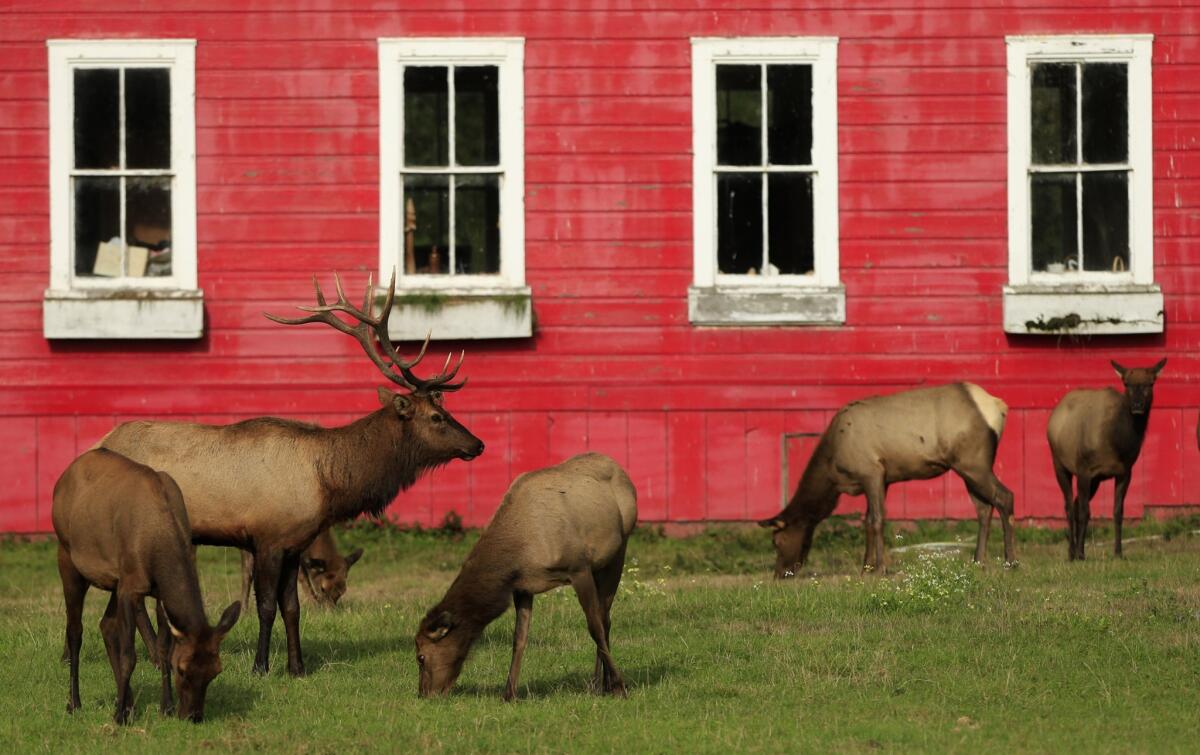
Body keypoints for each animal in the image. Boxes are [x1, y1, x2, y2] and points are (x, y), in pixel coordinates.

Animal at [54, 446, 240, 724]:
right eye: (182, 670)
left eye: (216, 671)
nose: (193, 716)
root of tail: (62, 478)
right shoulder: (131, 587)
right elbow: (129, 655)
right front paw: (118, 717)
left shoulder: (152, 590)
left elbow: (162, 648)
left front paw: (166, 707)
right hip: (67, 556)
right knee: (75, 631)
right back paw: (74, 703)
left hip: (116, 579)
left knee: (106, 625)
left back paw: (128, 702)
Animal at [98, 273, 482, 672]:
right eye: (437, 417)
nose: (478, 444)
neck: (326, 484)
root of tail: (100, 443)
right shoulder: (267, 538)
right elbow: (267, 606)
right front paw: (261, 666)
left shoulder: (296, 543)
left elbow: (292, 607)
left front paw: (296, 667)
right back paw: (156, 658)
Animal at [415, 446, 638, 700]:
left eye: (420, 657)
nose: (423, 693)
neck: (520, 550)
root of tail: (622, 471)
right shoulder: (522, 586)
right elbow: (519, 638)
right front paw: (509, 692)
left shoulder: (579, 568)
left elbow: (594, 627)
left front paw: (620, 685)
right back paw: (601, 683)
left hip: (618, 550)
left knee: (605, 617)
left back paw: (602, 683)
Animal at [758, 381, 1012, 576]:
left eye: (776, 541)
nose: (779, 574)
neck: (833, 470)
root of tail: (999, 407)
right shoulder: (883, 478)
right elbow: (868, 521)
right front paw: (865, 568)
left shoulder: (870, 471)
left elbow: (878, 519)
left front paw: (880, 568)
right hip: (968, 467)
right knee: (984, 508)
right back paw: (978, 561)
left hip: (973, 462)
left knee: (1005, 497)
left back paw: (1011, 561)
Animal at [1046, 357, 1166, 559]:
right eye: (1126, 383)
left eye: (1150, 383)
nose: (1137, 406)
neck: (1116, 443)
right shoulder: (1084, 469)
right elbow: (1085, 512)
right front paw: (1081, 554)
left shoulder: (1125, 472)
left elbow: (1117, 512)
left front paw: (1118, 552)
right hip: (1059, 464)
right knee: (1070, 506)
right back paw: (1072, 552)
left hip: (1094, 481)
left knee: (1076, 503)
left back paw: (1076, 547)